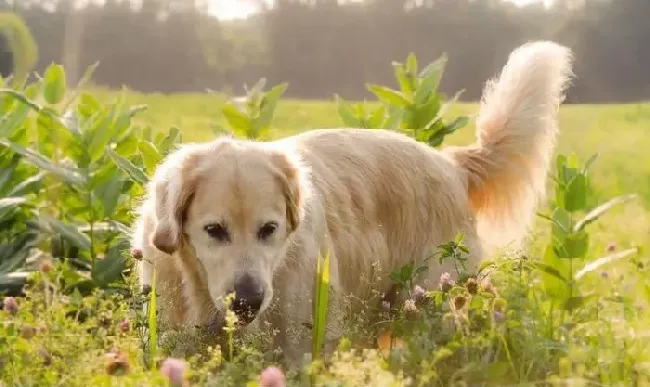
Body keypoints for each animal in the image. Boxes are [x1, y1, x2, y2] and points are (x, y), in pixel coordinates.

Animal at [132, 41, 572, 366]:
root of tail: (450, 163)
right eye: (214, 231)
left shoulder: (302, 343)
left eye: (269, 230)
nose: (248, 302)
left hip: (435, 302)